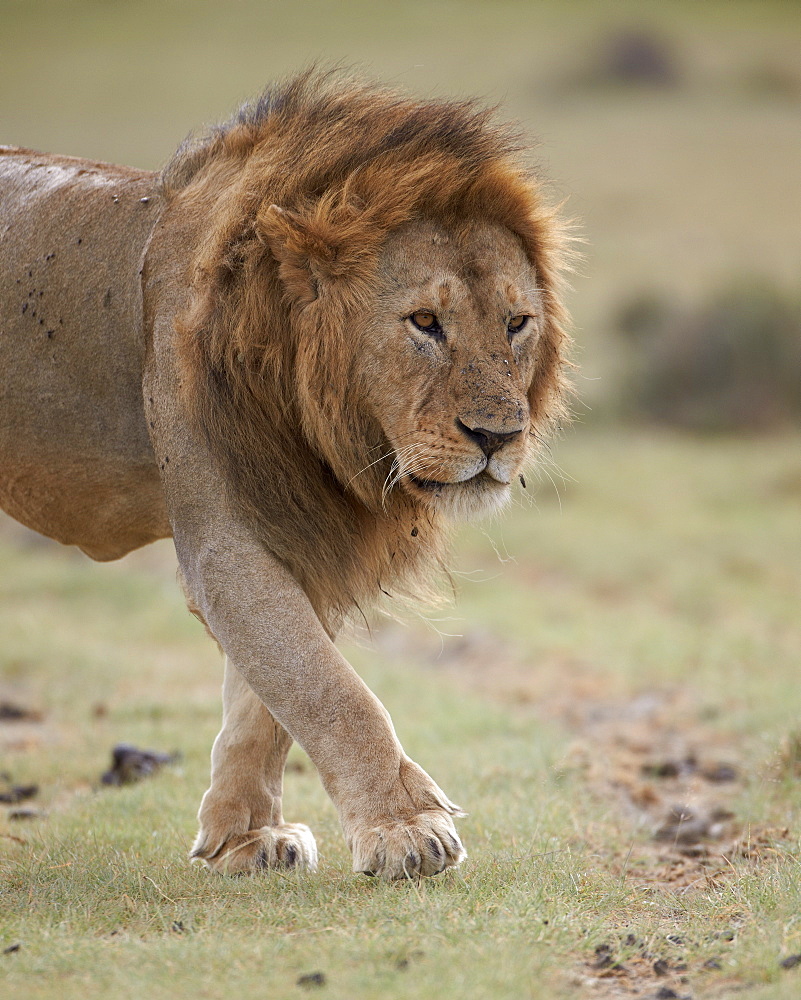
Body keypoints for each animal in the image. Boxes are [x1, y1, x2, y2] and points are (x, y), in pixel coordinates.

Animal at [0, 70, 568, 880]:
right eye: (425, 322)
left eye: (517, 324)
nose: (498, 436)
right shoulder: (222, 539)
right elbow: (329, 689)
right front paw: (406, 828)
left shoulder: (306, 530)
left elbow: (267, 699)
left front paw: (244, 837)